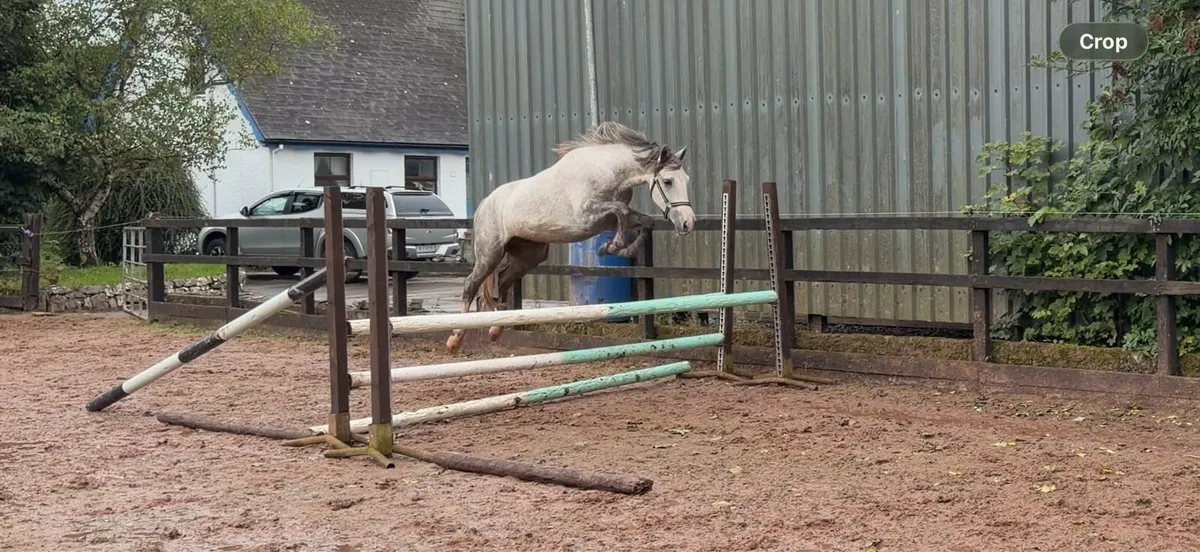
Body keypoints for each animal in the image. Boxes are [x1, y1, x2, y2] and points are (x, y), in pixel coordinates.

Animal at [445, 121, 697, 353]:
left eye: (686, 179)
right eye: (668, 181)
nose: (688, 223)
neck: (606, 170)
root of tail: (485, 203)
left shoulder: (605, 220)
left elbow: (642, 221)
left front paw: (620, 249)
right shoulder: (587, 215)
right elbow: (621, 211)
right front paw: (611, 247)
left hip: (530, 255)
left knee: (504, 280)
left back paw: (495, 330)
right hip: (490, 253)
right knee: (471, 285)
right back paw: (455, 338)